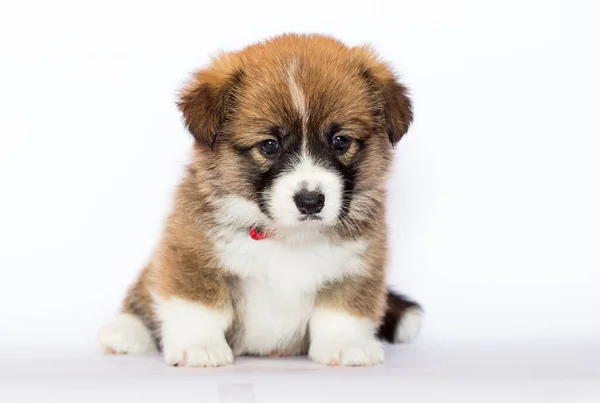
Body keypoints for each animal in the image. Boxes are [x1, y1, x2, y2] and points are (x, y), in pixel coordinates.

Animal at [97, 34, 422, 368]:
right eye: (269, 145)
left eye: (340, 141)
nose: (310, 201)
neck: (289, 236)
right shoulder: (191, 253)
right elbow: (200, 307)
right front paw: (200, 346)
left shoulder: (358, 262)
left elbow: (342, 310)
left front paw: (345, 345)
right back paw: (124, 332)